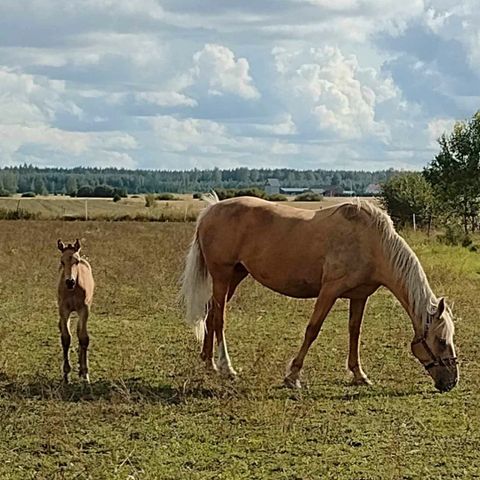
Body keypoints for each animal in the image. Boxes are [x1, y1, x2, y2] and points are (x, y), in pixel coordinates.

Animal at [56, 239, 94, 382]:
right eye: (62, 261)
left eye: (76, 261)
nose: (70, 282)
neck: (72, 290)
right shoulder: (63, 310)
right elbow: (66, 338)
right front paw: (66, 374)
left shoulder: (84, 309)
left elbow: (83, 338)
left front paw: (85, 373)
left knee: (79, 332)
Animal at [180, 193, 458, 392]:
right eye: (441, 341)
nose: (451, 382)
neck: (372, 244)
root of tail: (211, 210)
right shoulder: (329, 291)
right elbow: (312, 330)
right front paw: (292, 376)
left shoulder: (359, 295)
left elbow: (354, 332)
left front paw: (359, 375)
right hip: (222, 275)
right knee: (219, 319)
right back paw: (227, 368)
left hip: (235, 275)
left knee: (210, 313)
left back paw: (208, 363)